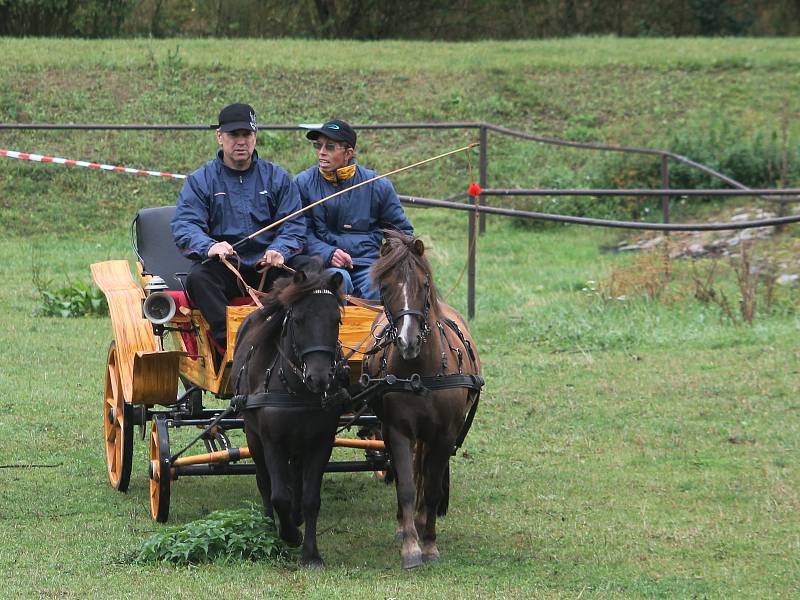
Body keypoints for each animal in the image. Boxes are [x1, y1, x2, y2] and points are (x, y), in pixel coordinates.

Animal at [230, 264, 346, 568]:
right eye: (298, 320)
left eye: (337, 320)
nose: (320, 377)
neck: (297, 390)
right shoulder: (272, 441)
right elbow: (278, 494)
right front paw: (290, 535)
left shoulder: (321, 441)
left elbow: (311, 498)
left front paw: (311, 554)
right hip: (254, 436)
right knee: (264, 481)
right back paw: (269, 525)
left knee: (295, 477)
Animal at [362, 230, 482, 568]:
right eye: (386, 288)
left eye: (424, 285)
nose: (408, 341)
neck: (420, 372)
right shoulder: (397, 430)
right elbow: (405, 485)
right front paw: (411, 546)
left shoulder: (444, 434)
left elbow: (431, 489)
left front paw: (429, 544)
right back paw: (406, 524)